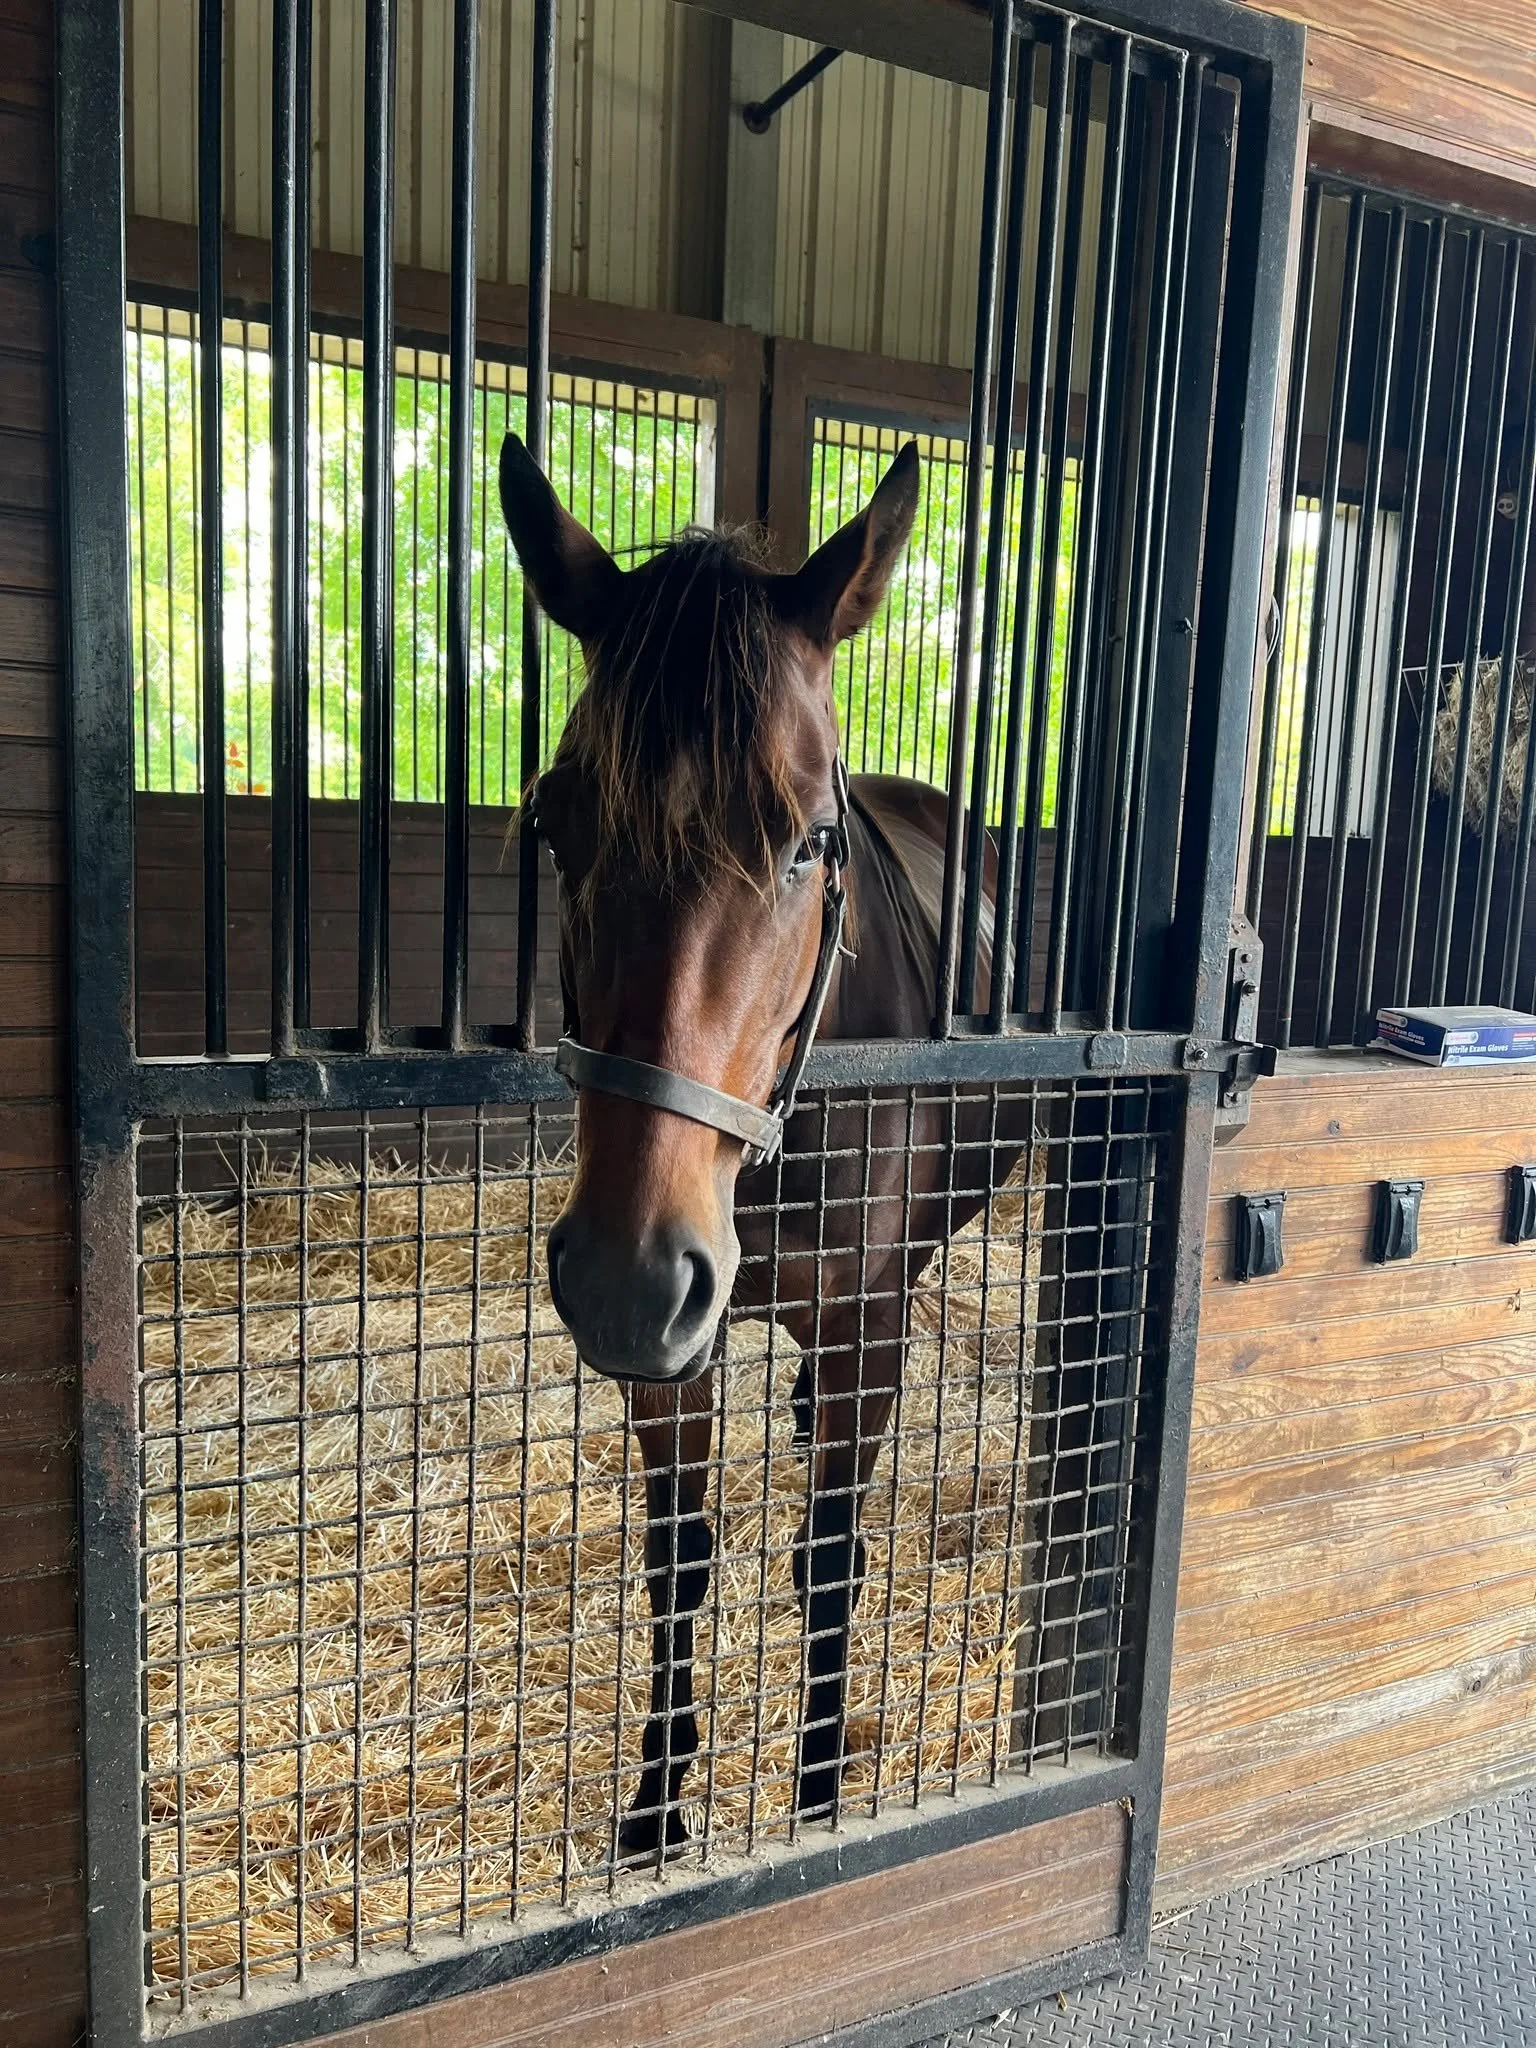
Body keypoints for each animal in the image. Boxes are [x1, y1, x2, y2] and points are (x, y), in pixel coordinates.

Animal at [498, 431, 1033, 1859]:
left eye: (811, 840)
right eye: (558, 823)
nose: (628, 1275)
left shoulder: (860, 1321)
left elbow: (831, 1556)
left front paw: (818, 1796)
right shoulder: (672, 1353)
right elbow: (682, 1554)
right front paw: (654, 1808)